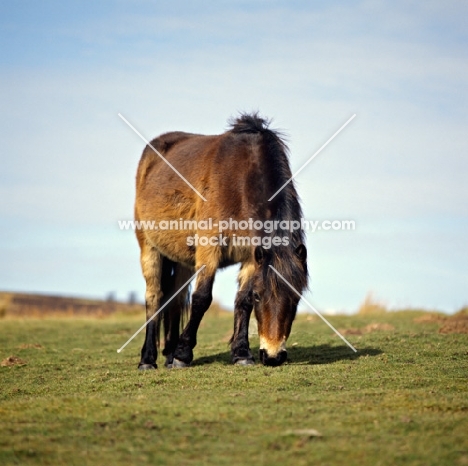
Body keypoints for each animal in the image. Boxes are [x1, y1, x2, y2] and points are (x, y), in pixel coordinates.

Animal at [133, 112, 308, 368]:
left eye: (296, 297)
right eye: (260, 296)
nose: (273, 356)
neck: (239, 182)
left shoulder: (251, 256)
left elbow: (242, 301)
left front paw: (242, 353)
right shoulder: (209, 249)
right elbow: (202, 298)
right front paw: (183, 355)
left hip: (183, 259)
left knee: (175, 299)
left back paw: (168, 354)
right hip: (149, 248)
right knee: (154, 298)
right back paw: (148, 359)